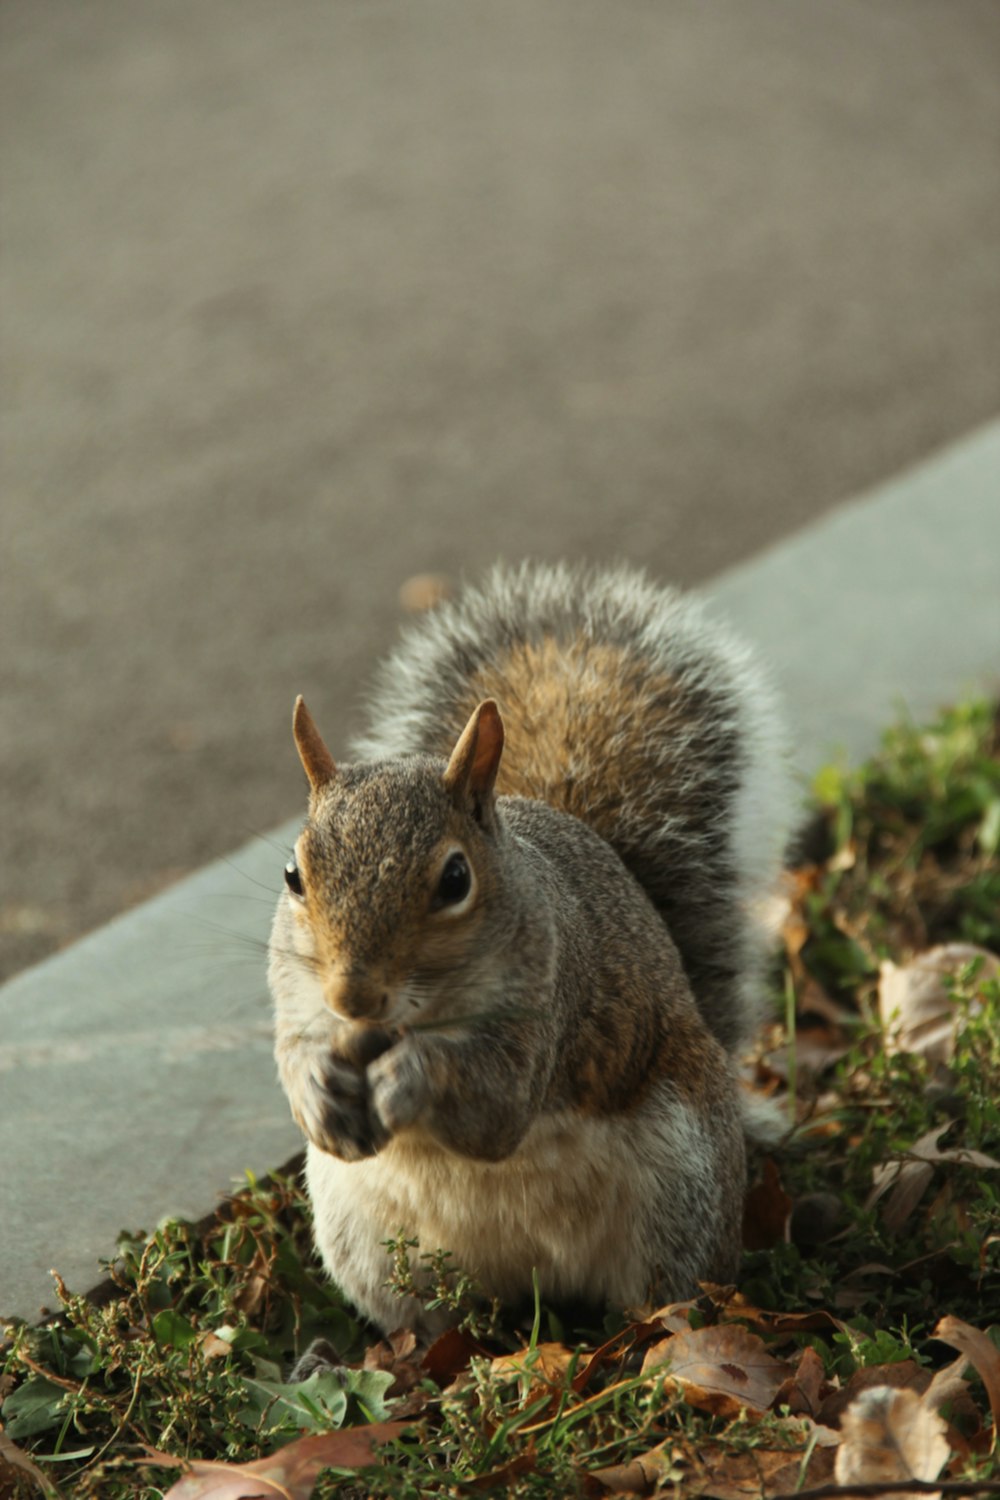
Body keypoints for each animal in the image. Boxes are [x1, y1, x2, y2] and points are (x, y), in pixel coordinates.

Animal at [265, 564, 791, 1338]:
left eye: (455, 879)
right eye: (293, 875)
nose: (352, 997)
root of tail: (534, 1283)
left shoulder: (550, 1004)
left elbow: (497, 1108)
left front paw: (410, 1075)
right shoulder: (296, 996)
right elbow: (292, 1050)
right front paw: (316, 1089)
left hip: (682, 1192)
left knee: (668, 1294)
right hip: (365, 1241)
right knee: (427, 1320)